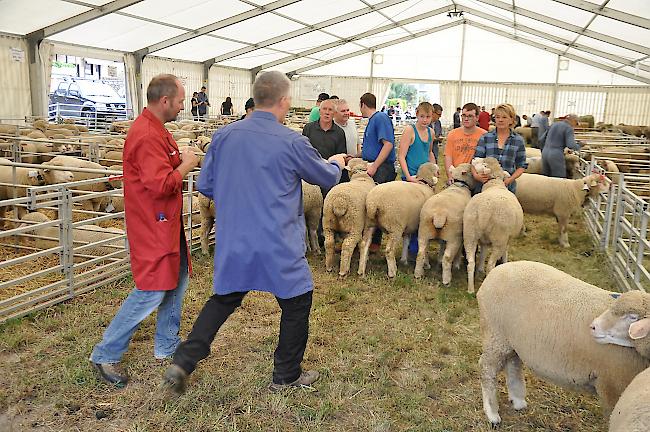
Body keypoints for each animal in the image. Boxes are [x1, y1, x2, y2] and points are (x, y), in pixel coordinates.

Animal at [460, 158, 520, 294]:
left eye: (483, 163)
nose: (474, 158)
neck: (494, 184)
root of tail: (484, 209)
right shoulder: (508, 239)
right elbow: (505, 252)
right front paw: (504, 262)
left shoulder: (484, 240)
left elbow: (482, 254)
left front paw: (480, 269)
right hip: (499, 238)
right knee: (491, 265)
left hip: (470, 233)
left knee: (471, 263)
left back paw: (470, 289)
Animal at [476, 262, 648, 426]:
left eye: (633, 317)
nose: (593, 327)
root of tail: (496, 271)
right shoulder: (612, 387)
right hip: (495, 334)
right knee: (487, 369)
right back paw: (492, 414)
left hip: (511, 339)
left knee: (513, 363)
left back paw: (518, 401)